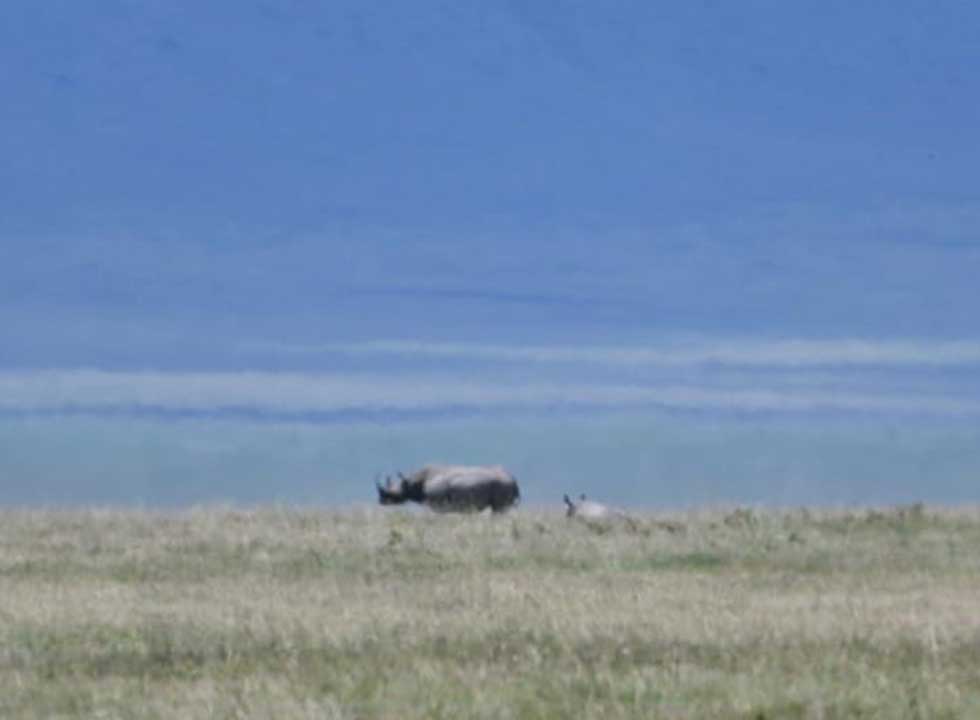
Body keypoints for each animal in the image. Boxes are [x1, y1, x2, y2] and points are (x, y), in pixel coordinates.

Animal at [377, 464, 521, 513]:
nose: (381, 501)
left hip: (502, 485)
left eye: (394, 494)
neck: (414, 482)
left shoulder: (438, 504)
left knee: (499, 510)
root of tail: (514, 480)